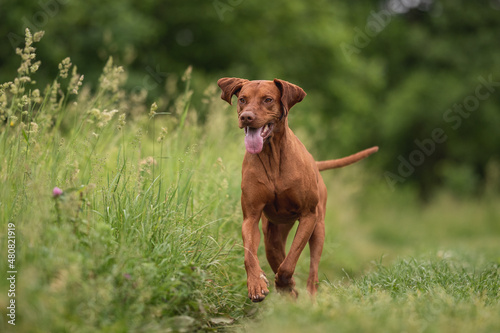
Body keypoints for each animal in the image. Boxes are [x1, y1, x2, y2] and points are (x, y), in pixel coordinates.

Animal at [217, 77, 376, 300]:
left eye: (268, 99)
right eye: (242, 99)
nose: (246, 117)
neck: (272, 156)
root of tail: (315, 164)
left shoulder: (308, 216)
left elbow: (290, 262)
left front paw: (284, 283)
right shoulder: (250, 217)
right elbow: (250, 255)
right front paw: (256, 283)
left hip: (319, 229)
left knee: (312, 271)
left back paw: (308, 296)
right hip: (272, 237)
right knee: (276, 256)